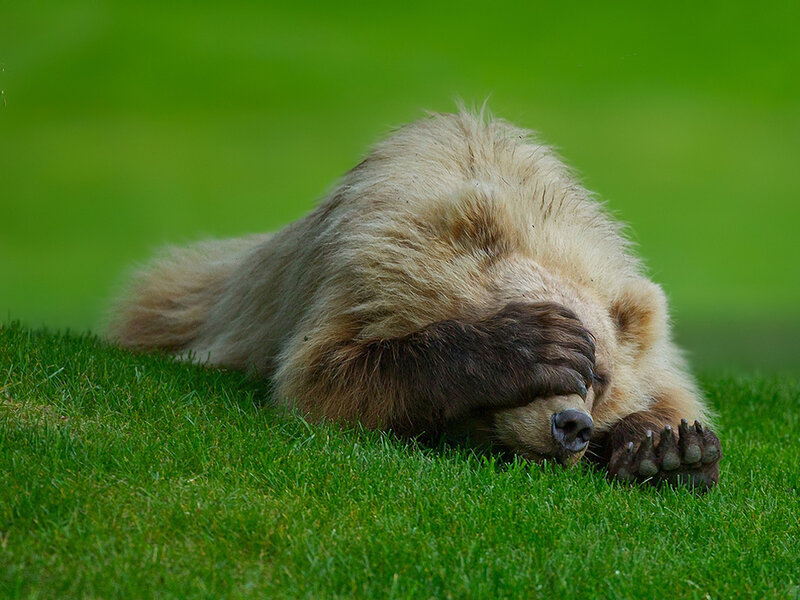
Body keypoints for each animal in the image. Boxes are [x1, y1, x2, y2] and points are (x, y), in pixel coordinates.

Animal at [108, 110, 722, 489]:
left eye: (600, 376)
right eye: (576, 358)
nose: (570, 425)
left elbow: (669, 393)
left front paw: (669, 450)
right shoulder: (362, 273)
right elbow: (325, 376)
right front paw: (528, 346)